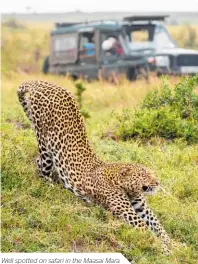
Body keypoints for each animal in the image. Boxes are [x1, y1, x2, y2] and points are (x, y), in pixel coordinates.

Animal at [17, 80, 174, 254]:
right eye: (144, 174)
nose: (157, 182)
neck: (122, 183)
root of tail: (41, 82)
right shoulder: (125, 210)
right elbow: (145, 229)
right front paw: (164, 249)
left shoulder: (141, 205)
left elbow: (157, 225)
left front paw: (175, 244)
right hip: (45, 144)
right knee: (41, 167)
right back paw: (51, 186)